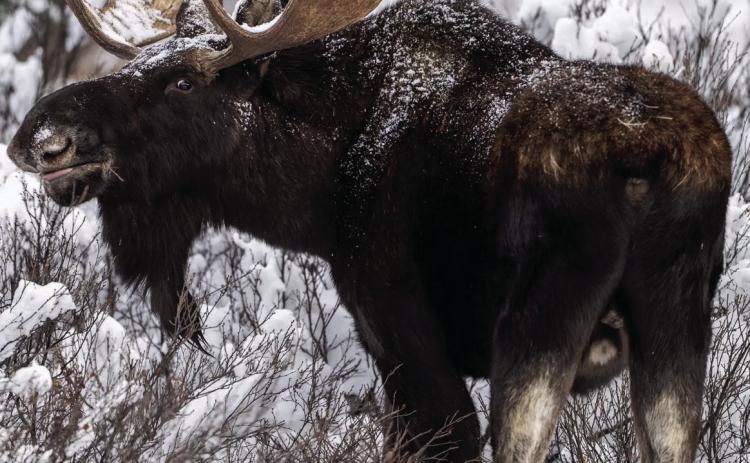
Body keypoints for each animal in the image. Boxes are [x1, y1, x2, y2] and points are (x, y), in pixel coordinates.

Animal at [5, 0, 732, 461]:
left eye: (183, 81)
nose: (41, 135)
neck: (314, 198)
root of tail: (645, 164)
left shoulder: (398, 329)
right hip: (675, 331)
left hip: (536, 329)